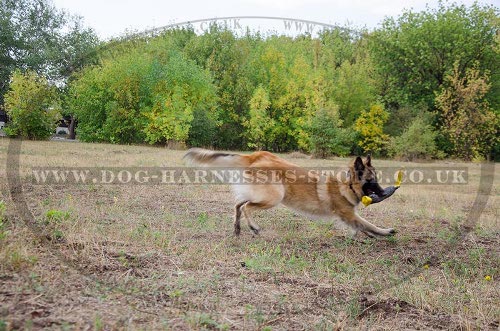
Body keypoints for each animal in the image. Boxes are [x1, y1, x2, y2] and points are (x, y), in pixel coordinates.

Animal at [182, 150, 396, 239]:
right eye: (372, 180)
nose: (386, 191)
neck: (347, 184)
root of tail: (255, 155)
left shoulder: (349, 216)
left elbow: (363, 226)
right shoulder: (348, 214)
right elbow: (367, 224)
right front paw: (385, 232)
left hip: (260, 194)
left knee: (238, 205)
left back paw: (237, 229)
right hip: (274, 196)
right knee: (246, 207)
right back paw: (253, 227)